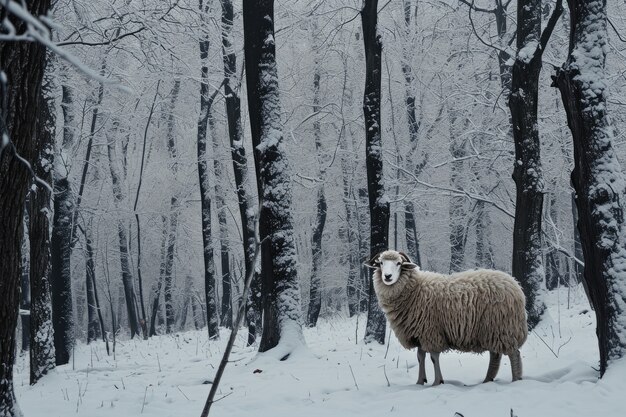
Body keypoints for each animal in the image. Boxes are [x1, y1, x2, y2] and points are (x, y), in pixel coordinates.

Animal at [366, 249, 528, 386]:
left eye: (399, 263)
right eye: (381, 263)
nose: (387, 276)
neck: (415, 289)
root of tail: (516, 286)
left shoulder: (431, 332)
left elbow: (433, 357)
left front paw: (437, 382)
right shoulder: (419, 333)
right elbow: (420, 357)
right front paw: (420, 381)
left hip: (503, 327)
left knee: (513, 354)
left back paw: (515, 380)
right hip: (492, 330)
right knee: (495, 355)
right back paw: (487, 380)